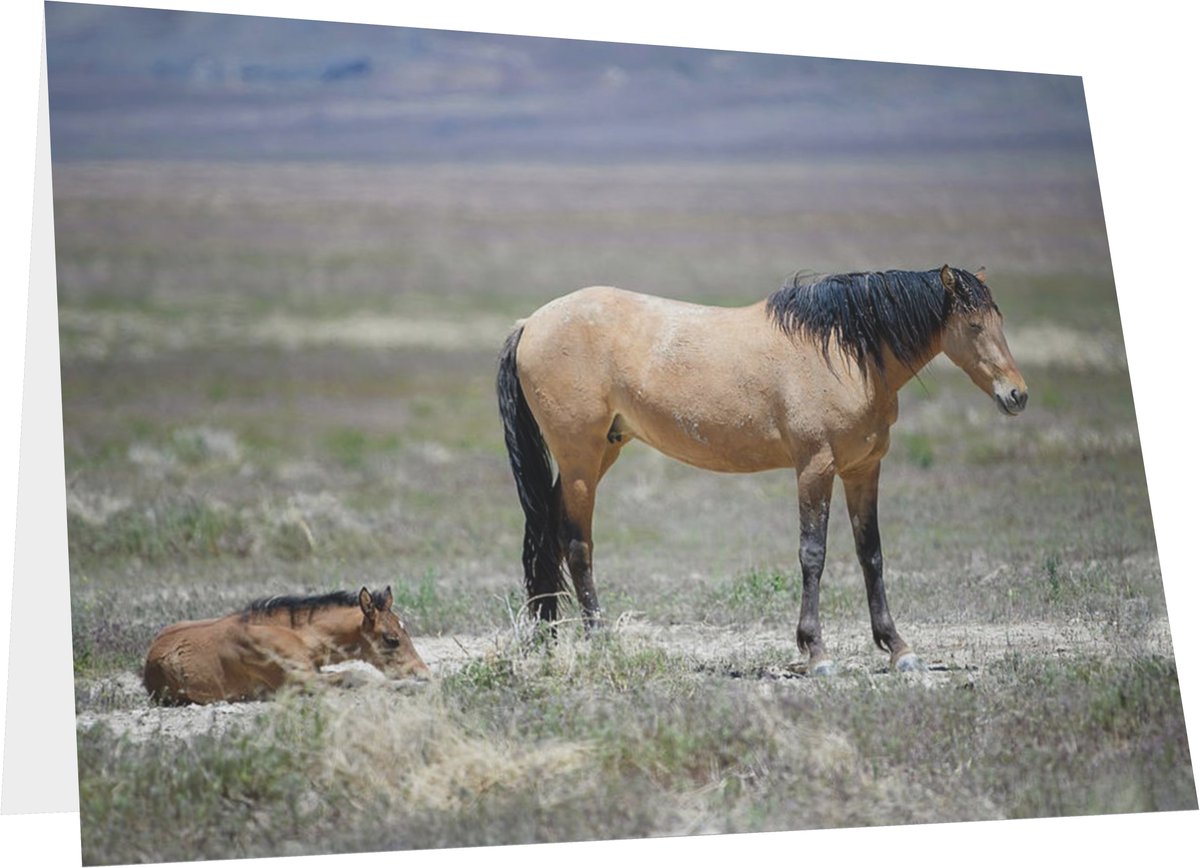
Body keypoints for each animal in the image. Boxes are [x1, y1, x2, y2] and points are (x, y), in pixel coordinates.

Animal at [497, 265, 1027, 674]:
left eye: (999, 320)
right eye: (974, 326)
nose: (1017, 394)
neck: (841, 353)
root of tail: (531, 323)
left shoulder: (863, 470)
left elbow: (870, 554)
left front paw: (898, 649)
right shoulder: (815, 467)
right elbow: (813, 554)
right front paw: (816, 653)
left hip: (600, 452)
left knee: (550, 536)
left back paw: (549, 636)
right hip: (580, 458)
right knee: (576, 543)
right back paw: (601, 639)